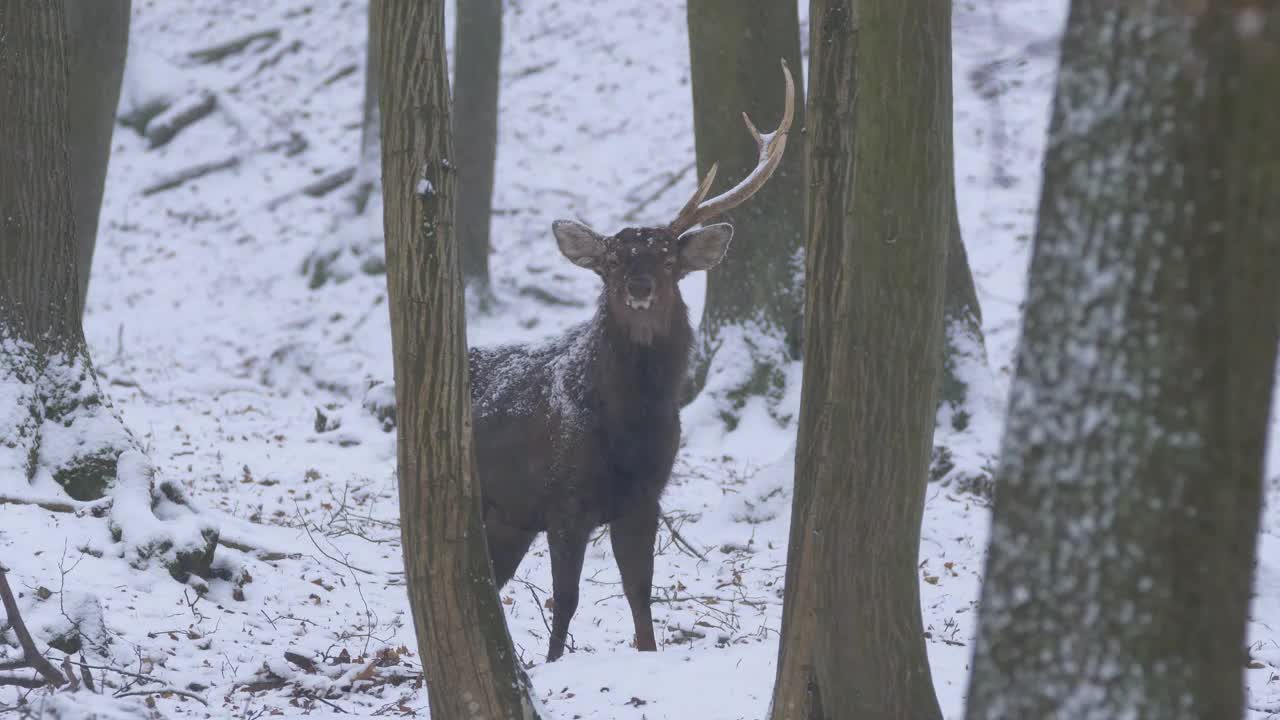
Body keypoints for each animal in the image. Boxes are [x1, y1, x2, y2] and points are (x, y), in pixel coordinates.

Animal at [471, 58, 788, 661]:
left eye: (667, 259)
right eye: (613, 261)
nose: (640, 287)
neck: (630, 427)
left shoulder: (647, 499)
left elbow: (641, 596)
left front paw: (647, 653)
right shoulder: (564, 500)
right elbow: (566, 601)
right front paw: (553, 663)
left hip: (508, 520)